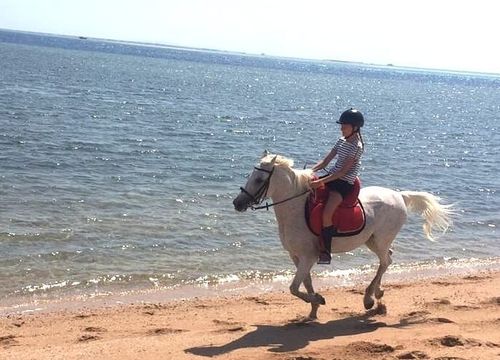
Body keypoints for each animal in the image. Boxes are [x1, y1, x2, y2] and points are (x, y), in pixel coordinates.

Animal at [233, 151, 454, 318]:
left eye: (259, 179)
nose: (237, 203)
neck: (295, 209)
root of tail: (399, 195)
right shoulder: (296, 257)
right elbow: (306, 283)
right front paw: (313, 311)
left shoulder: (308, 257)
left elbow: (294, 288)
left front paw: (318, 300)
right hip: (372, 241)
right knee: (387, 259)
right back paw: (378, 293)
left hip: (381, 240)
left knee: (385, 261)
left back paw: (369, 298)